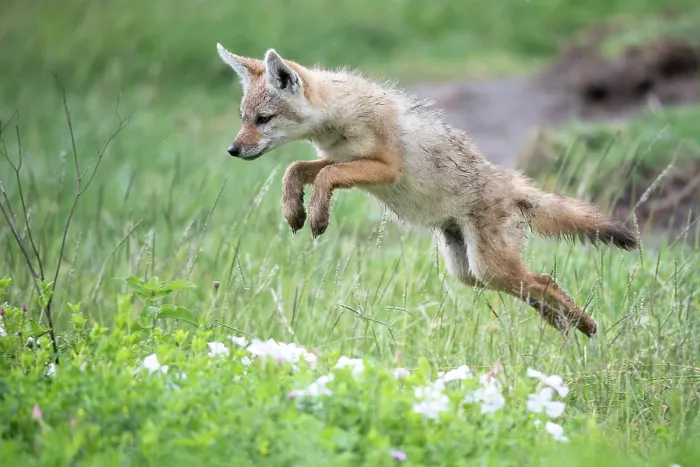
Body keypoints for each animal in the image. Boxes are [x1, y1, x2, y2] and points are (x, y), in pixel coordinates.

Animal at [215, 43, 638, 338]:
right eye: (244, 119)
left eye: (263, 120)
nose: (232, 150)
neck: (340, 120)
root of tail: (512, 182)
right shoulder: (337, 159)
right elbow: (296, 170)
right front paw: (294, 211)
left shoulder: (382, 168)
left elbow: (325, 178)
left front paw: (317, 216)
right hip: (471, 273)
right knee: (537, 287)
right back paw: (570, 325)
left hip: (489, 268)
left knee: (544, 281)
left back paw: (584, 325)